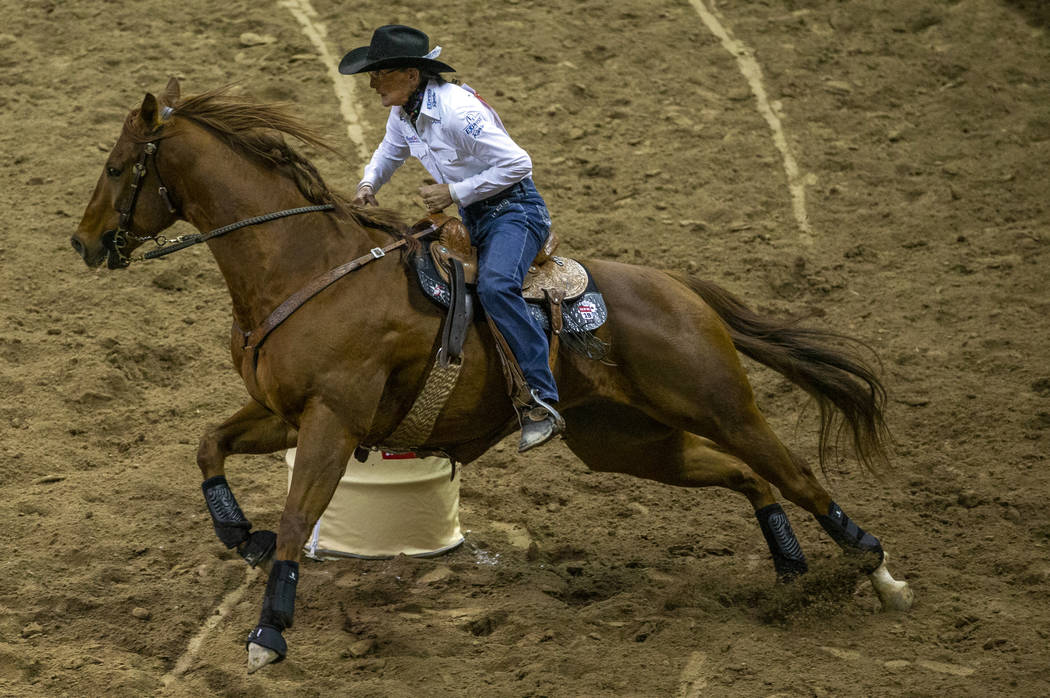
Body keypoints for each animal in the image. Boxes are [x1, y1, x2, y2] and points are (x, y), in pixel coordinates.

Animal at [71, 78, 911, 671]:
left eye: (115, 166)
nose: (82, 243)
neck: (307, 267)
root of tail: (678, 285)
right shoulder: (282, 409)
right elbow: (207, 445)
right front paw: (239, 534)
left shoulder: (332, 420)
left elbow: (301, 519)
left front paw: (270, 631)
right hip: (625, 440)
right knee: (750, 477)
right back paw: (791, 567)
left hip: (719, 403)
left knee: (796, 472)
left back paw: (876, 572)